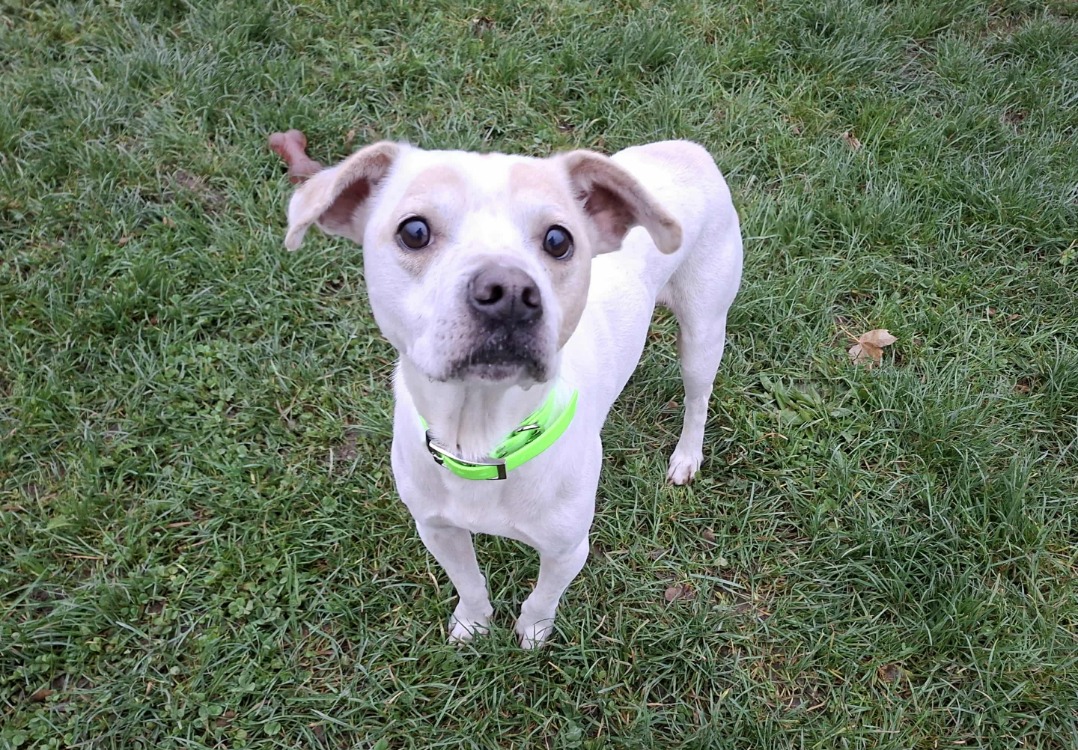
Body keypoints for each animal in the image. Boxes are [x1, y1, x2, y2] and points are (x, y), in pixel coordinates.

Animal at [271, 131, 743, 647]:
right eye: (414, 231)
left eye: (558, 240)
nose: (510, 293)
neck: (480, 438)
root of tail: (686, 148)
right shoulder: (437, 529)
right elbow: (469, 581)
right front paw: (473, 623)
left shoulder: (567, 549)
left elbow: (542, 598)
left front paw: (533, 634)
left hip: (702, 332)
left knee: (698, 398)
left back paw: (686, 457)